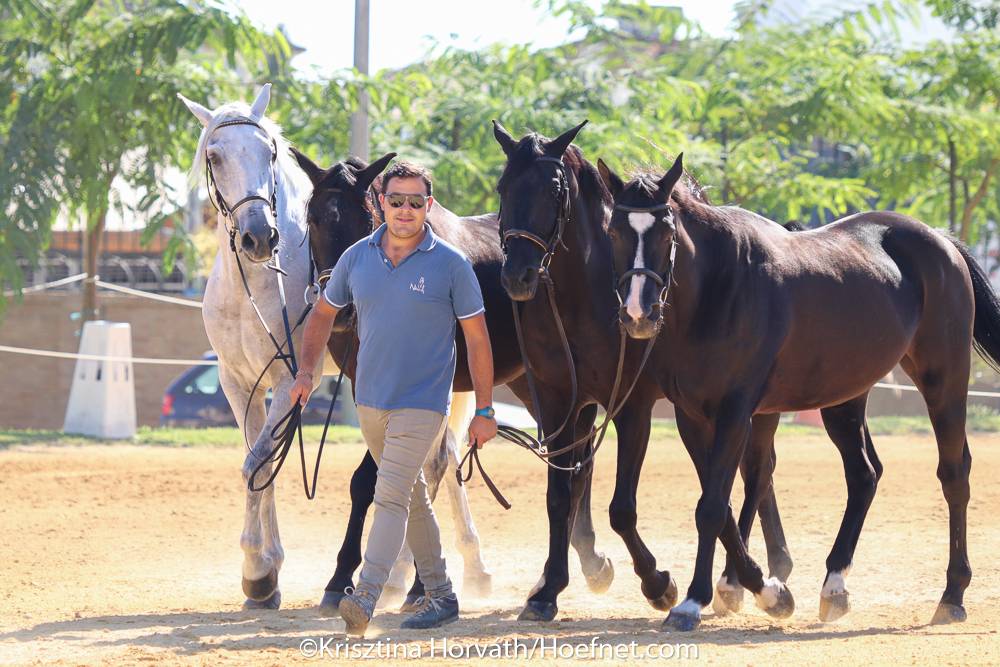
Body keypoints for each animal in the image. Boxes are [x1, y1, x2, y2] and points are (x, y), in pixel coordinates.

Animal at [178, 84, 318, 609]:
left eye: (270, 153)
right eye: (214, 156)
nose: (260, 237)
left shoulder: (290, 379)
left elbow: (258, 461)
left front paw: (257, 571)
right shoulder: (239, 382)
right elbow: (257, 460)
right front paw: (266, 574)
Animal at [491, 120, 794, 621]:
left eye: (553, 189)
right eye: (503, 186)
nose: (517, 275)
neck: (583, 297)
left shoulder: (632, 405)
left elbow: (622, 508)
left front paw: (658, 583)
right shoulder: (557, 402)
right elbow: (560, 494)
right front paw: (548, 589)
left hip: (750, 411)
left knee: (757, 472)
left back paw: (748, 578)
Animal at [598, 154, 1000, 630]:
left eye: (666, 231)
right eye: (614, 232)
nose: (637, 313)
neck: (720, 288)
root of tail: (941, 241)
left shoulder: (735, 412)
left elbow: (712, 507)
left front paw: (695, 600)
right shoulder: (692, 417)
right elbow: (722, 503)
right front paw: (760, 588)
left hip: (945, 380)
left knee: (954, 473)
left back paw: (952, 594)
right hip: (845, 397)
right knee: (863, 474)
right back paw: (834, 586)